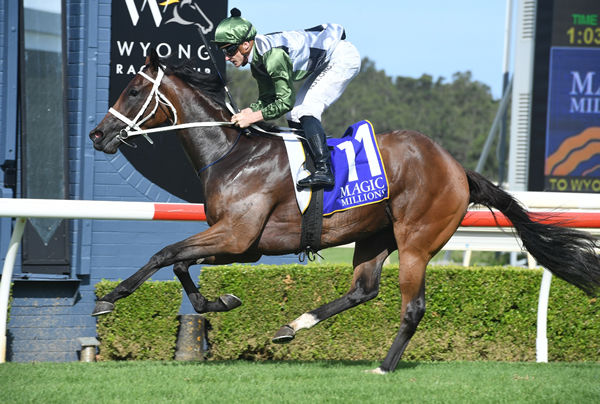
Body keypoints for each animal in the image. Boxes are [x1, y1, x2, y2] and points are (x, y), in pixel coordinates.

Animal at [89, 51, 600, 376]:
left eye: (134, 89)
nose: (98, 134)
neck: (231, 153)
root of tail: (458, 169)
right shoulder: (241, 245)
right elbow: (180, 263)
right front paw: (221, 302)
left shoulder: (236, 236)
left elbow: (164, 253)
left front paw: (110, 297)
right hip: (375, 237)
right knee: (362, 290)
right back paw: (293, 326)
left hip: (416, 242)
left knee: (411, 307)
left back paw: (383, 367)